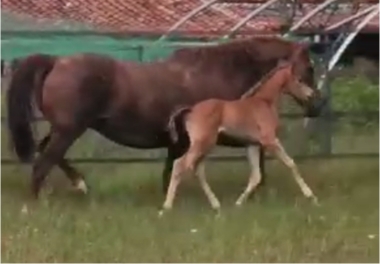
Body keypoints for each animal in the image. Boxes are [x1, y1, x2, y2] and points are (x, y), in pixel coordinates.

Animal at [6, 36, 324, 198]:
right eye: (308, 68)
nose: (317, 107)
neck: (224, 71)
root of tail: (56, 60)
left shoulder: (182, 141)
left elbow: (171, 170)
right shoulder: (228, 134)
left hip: (65, 128)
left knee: (45, 152)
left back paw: (78, 185)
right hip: (70, 129)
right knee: (43, 162)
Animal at [162, 61, 320, 214]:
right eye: (299, 80)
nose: (311, 94)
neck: (264, 101)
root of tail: (191, 110)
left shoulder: (253, 145)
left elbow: (256, 175)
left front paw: (238, 204)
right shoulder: (269, 140)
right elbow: (291, 163)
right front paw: (311, 195)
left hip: (206, 146)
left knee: (197, 170)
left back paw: (216, 205)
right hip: (202, 144)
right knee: (180, 164)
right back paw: (166, 208)